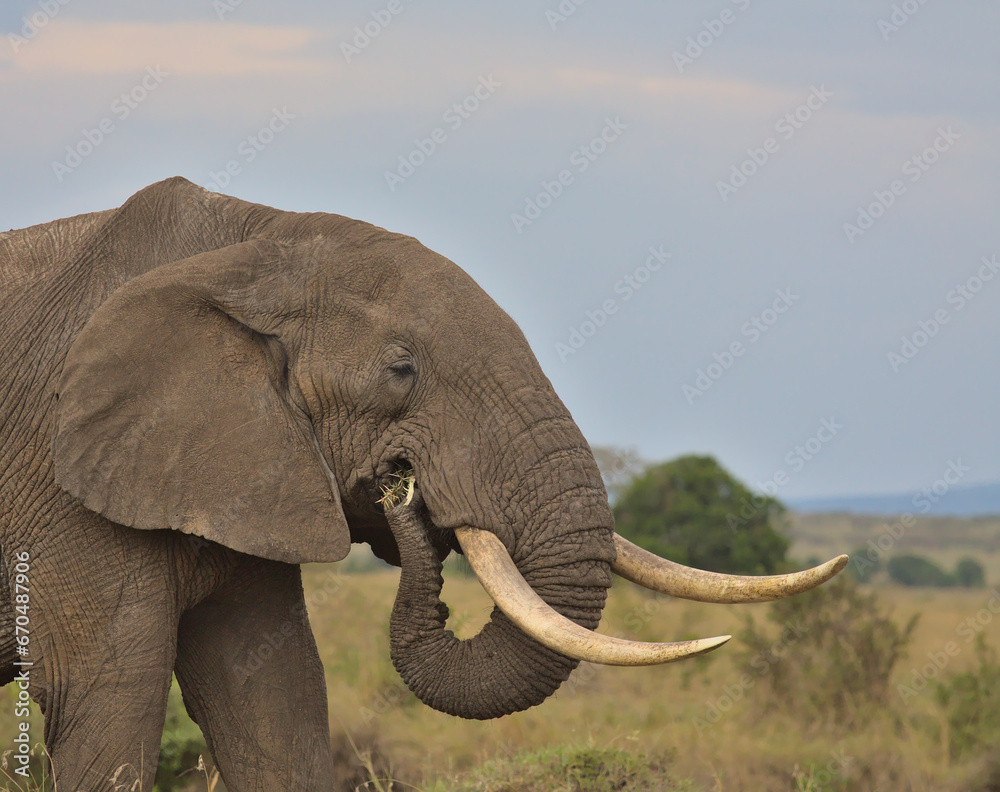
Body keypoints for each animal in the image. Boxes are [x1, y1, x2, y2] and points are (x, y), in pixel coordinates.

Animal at [0, 177, 847, 790]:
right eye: (401, 370)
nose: (405, 491)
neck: (248, 244)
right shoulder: (66, 483)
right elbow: (108, 701)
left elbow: (275, 700)